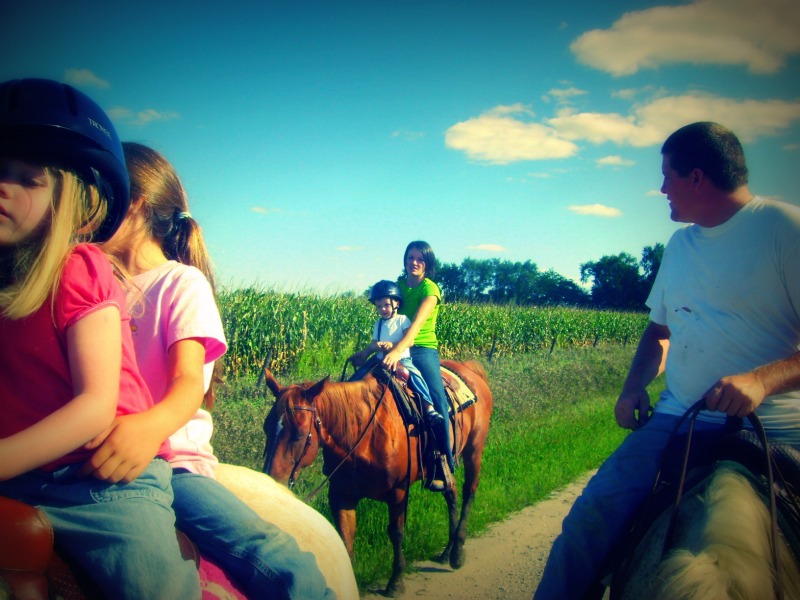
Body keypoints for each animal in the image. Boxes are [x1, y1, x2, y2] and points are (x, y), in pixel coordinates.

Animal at [260, 356, 494, 596]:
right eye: (266, 428)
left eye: (298, 434)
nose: (271, 482)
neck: (365, 433)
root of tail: (470, 369)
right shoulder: (341, 495)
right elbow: (345, 539)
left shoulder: (398, 492)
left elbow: (396, 532)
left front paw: (396, 582)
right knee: (451, 492)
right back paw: (448, 550)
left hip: (474, 450)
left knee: (469, 491)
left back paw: (457, 552)